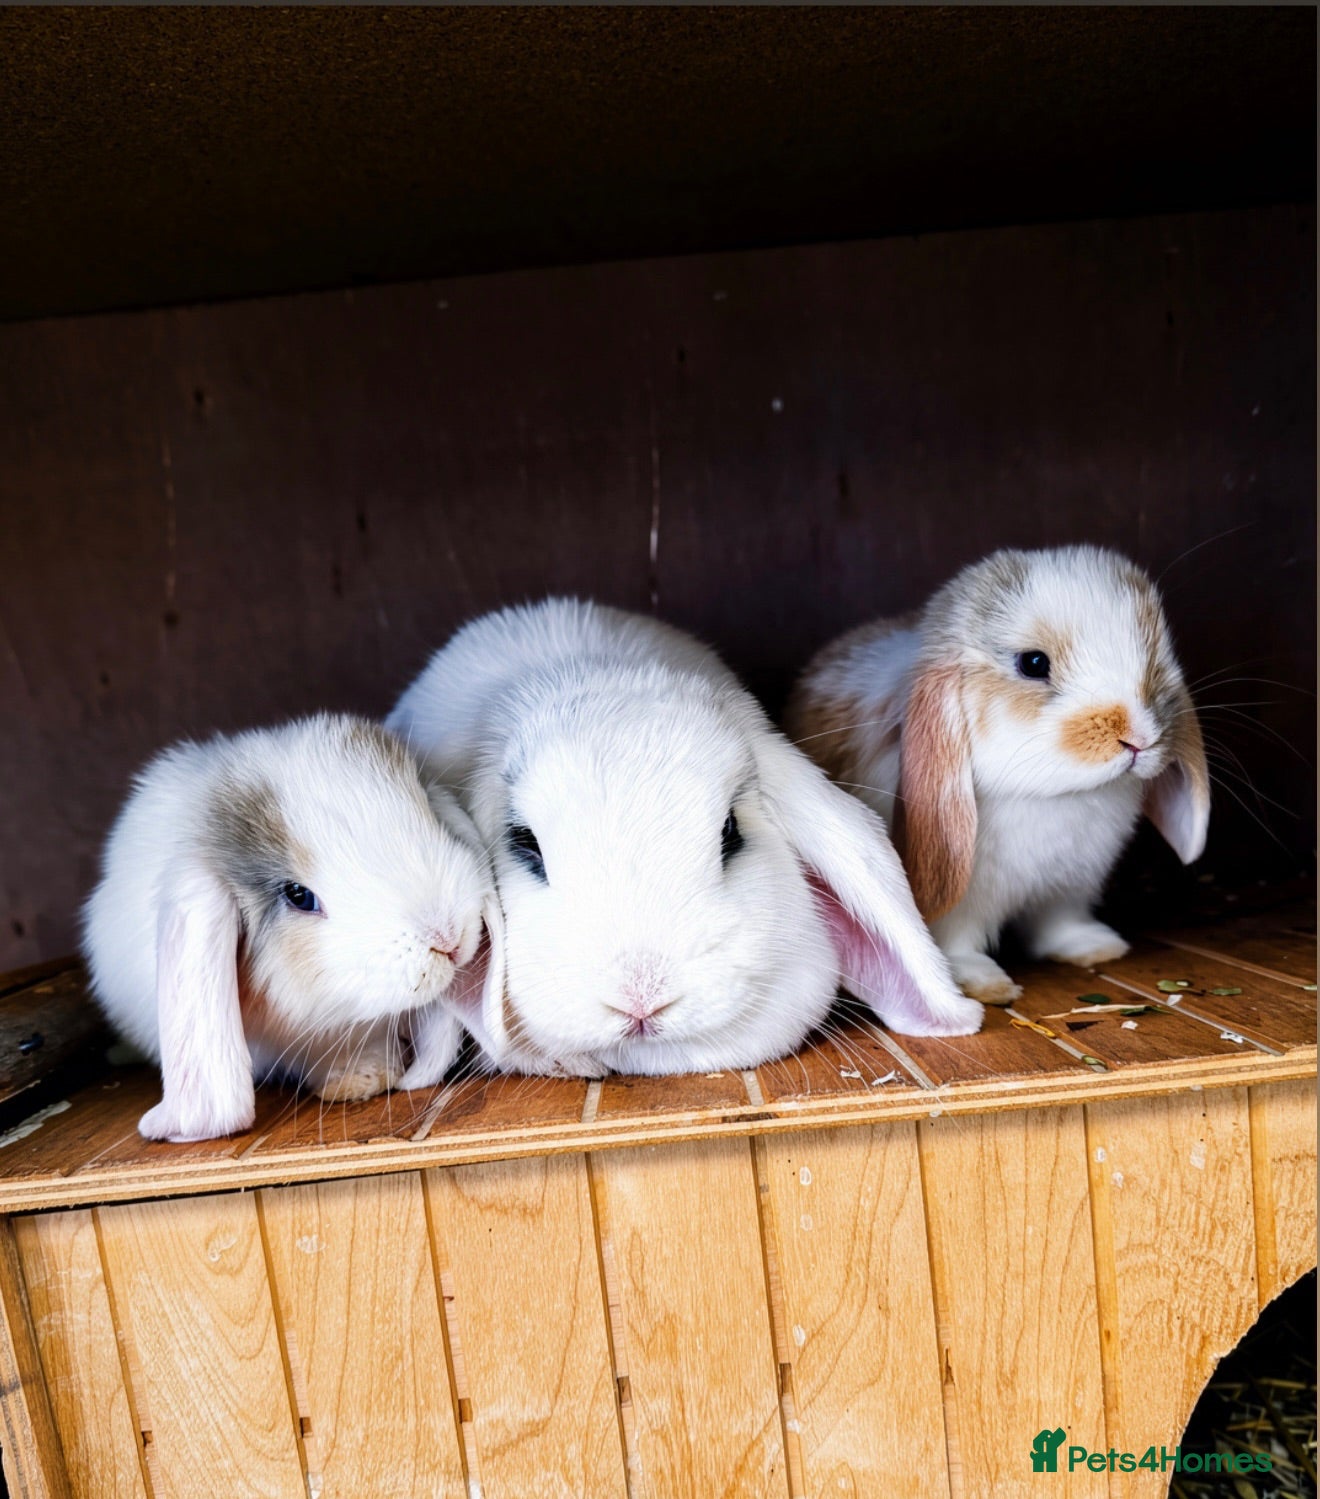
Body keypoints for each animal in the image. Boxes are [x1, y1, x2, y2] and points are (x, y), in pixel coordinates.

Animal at [783, 546, 1211, 1003]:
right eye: (1034, 663)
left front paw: (1096, 948)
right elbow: (956, 942)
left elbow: (1059, 925)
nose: (1139, 738)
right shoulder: (960, 903)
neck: (1055, 796)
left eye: (1154, 656)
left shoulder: (1068, 888)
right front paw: (981, 983)